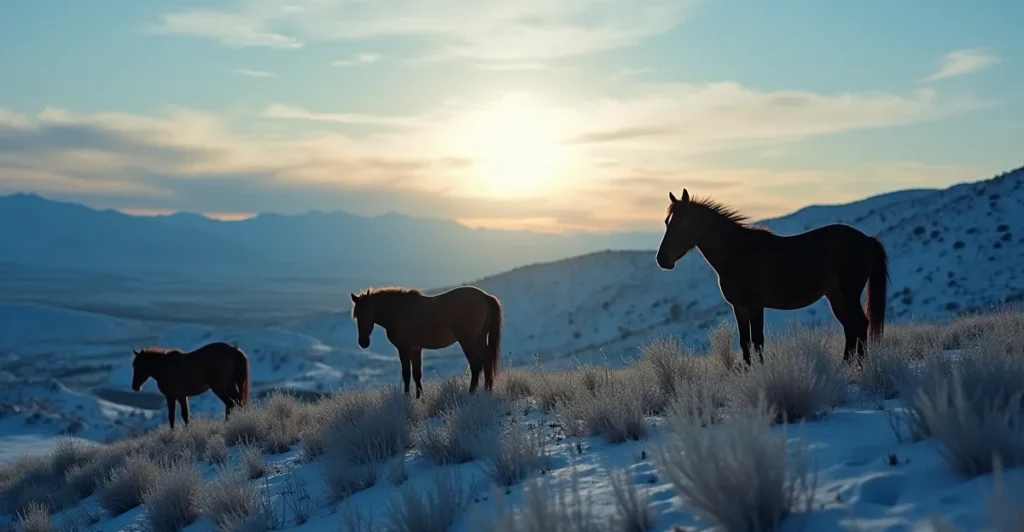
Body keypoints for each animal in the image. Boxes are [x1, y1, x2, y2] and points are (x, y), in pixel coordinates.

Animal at [350, 286, 503, 398]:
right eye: (357, 316)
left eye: (368, 313)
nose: (363, 342)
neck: (399, 311)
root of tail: (485, 297)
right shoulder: (416, 349)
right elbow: (417, 375)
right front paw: (419, 398)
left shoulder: (404, 349)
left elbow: (406, 374)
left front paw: (406, 398)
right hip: (480, 338)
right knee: (486, 360)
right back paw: (487, 390)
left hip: (468, 341)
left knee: (476, 365)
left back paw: (471, 392)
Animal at [656, 188, 890, 367]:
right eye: (667, 222)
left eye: (681, 224)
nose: (662, 260)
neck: (737, 252)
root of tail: (867, 240)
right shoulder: (739, 307)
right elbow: (745, 342)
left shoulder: (756, 305)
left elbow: (758, 341)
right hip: (836, 297)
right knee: (851, 328)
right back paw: (845, 367)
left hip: (849, 294)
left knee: (860, 325)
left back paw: (860, 367)